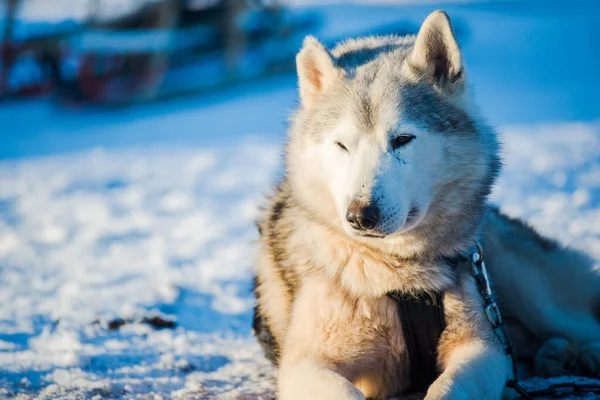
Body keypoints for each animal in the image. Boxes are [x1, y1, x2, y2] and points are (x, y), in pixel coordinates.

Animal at [252, 10, 600, 398]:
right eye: (341, 145)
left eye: (403, 139)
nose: (359, 216)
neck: (398, 273)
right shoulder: (306, 364)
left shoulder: (483, 347)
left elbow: (450, 388)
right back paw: (554, 355)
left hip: (524, 286)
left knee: (582, 323)